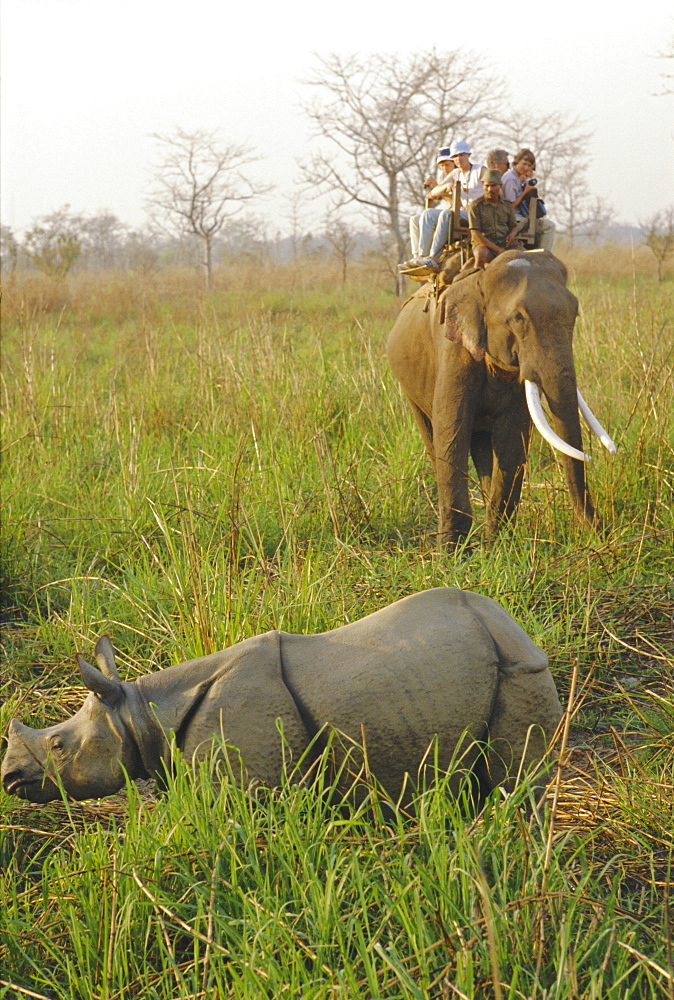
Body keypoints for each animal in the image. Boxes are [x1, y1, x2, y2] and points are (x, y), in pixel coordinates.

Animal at [1, 584, 560, 804]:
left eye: (59, 746)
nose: (9, 779)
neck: (140, 711)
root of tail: (511, 622)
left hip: (521, 669)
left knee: (514, 780)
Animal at [384, 250, 616, 548]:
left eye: (575, 313)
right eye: (518, 318)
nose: (602, 532)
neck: (480, 279)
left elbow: (511, 437)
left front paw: (495, 545)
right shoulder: (453, 349)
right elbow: (451, 430)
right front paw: (452, 553)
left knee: (483, 445)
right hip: (409, 385)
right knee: (432, 436)